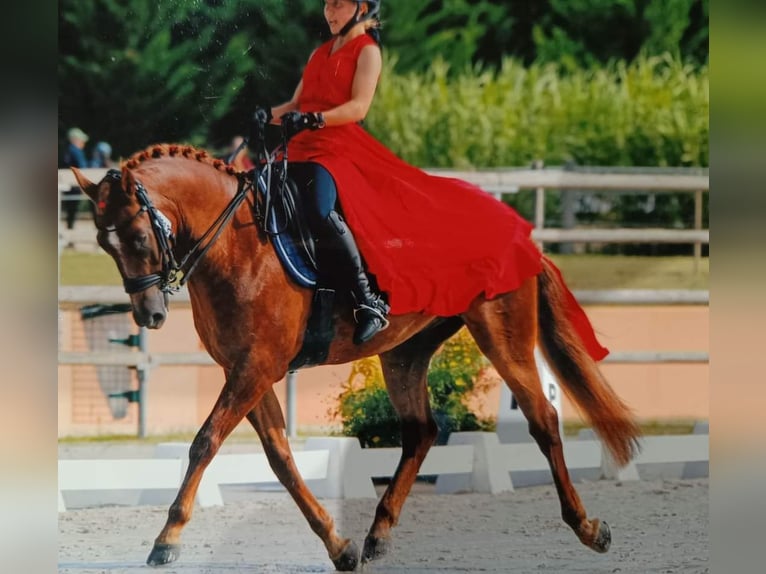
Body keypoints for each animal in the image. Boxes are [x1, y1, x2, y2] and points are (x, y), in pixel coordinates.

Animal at [72, 143, 640, 572]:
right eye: (104, 243)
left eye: (139, 236)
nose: (149, 314)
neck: (237, 244)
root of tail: (522, 233)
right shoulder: (247, 370)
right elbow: (280, 458)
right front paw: (338, 545)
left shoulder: (255, 367)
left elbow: (205, 442)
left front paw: (166, 540)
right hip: (406, 351)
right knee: (422, 431)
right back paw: (378, 534)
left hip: (502, 333)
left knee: (543, 419)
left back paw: (589, 528)